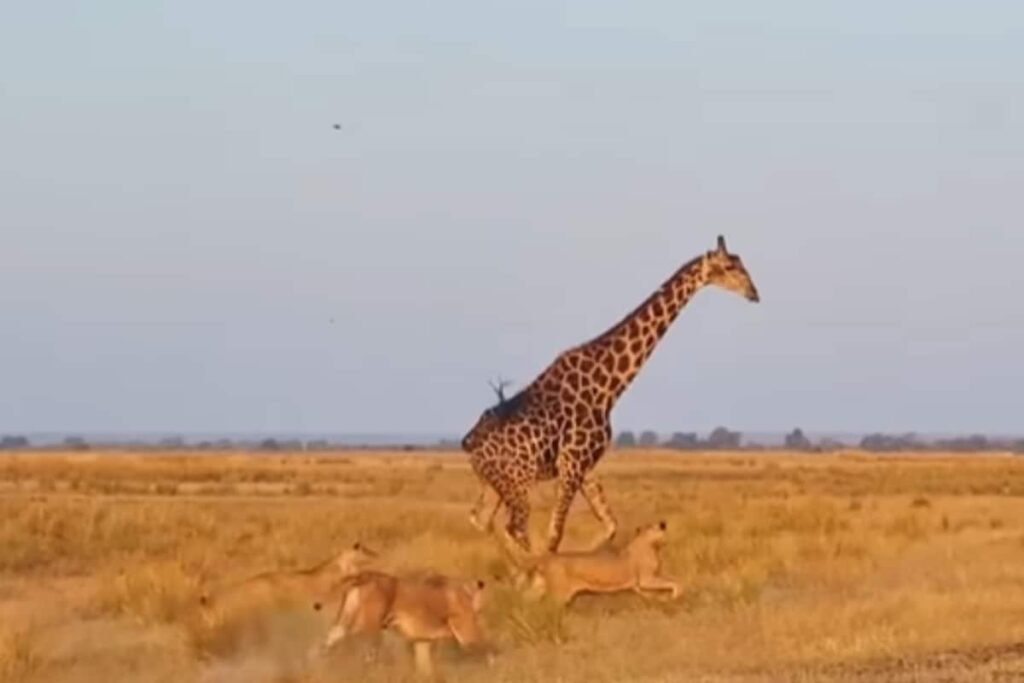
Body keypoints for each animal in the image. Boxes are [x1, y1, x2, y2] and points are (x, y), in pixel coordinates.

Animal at [313, 570, 491, 679]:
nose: (480, 612)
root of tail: (365, 575)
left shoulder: (422, 641)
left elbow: (425, 668)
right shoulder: (467, 633)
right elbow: (487, 652)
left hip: (344, 623)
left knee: (324, 645)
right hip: (369, 628)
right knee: (367, 658)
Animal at [460, 235, 760, 553]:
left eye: (741, 263)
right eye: (728, 267)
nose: (754, 293)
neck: (608, 387)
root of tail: (468, 443)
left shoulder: (586, 467)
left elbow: (609, 526)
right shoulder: (571, 464)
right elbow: (554, 536)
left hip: (496, 485)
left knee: (483, 521)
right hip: (517, 483)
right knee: (512, 528)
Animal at [502, 521, 679, 607]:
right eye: (652, 526)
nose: (663, 523)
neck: (651, 545)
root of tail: (546, 557)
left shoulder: (639, 585)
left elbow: (658, 591)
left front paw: (663, 600)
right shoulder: (646, 579)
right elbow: (675, 582)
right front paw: (675, 596)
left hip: (540, 586)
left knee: (525, 599)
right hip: (558, 595)